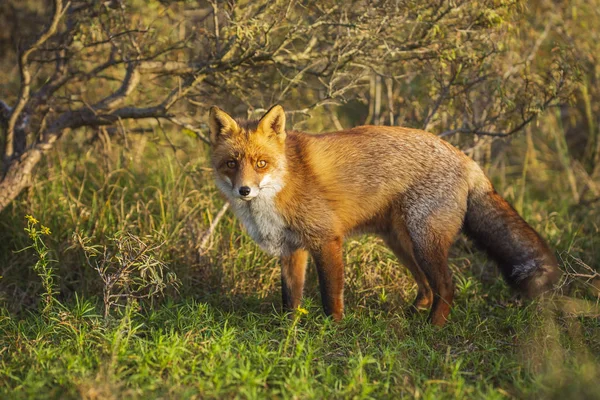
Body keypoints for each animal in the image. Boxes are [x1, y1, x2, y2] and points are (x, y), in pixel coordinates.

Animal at [209, 104, 560, 326]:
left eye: (261, 164)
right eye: (231, 164)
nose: (244, 191)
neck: (283, 183)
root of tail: (466, 158)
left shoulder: (327, 239)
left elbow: (330, 295)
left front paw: (332, 330)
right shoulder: (291, 250)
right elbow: (290, 299)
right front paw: (289, 331)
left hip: (424, 241)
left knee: (447, 287)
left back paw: (432, 328)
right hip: (402, 243)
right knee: (427, 287)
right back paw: (413, 315)